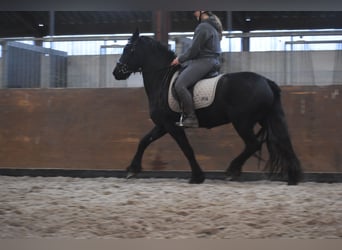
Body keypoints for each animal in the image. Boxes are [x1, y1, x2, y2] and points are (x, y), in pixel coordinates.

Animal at [112, 30, 302, 185]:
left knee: (253, 144)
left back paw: (232, 170)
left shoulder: (171, 125)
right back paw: (293, 177)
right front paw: (132, 169)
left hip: (242, 122)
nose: (116, 72)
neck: (162, 80)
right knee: (282, 141)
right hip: (265, 119)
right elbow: (144, 141)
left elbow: (187, 149)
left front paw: (197, 176)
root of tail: (266, 81)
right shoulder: (162, 125)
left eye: (129, 49)